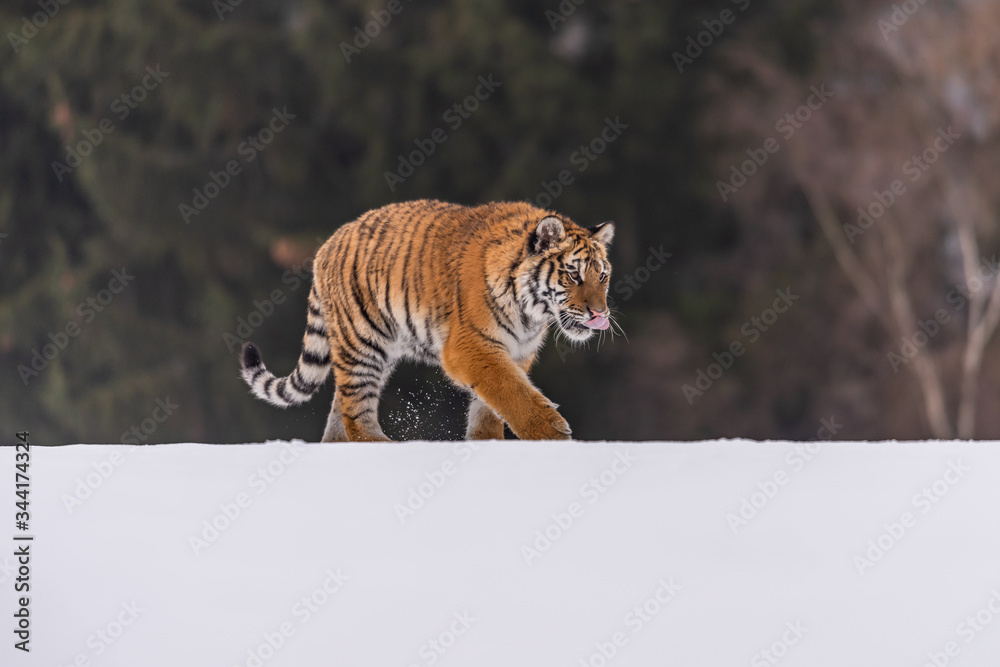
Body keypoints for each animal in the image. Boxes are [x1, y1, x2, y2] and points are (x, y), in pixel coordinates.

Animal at [240, 199, 616, 442]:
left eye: (602, 276)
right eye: (573, 275)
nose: (600, 314)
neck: (531, 313)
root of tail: (327, 245)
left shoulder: (516, 353)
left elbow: (491, 406)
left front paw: (487, 444)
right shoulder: (471, 347)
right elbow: (511, 391)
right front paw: (552, 432)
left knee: (339, 410)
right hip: (363, 343)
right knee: (355, 412)